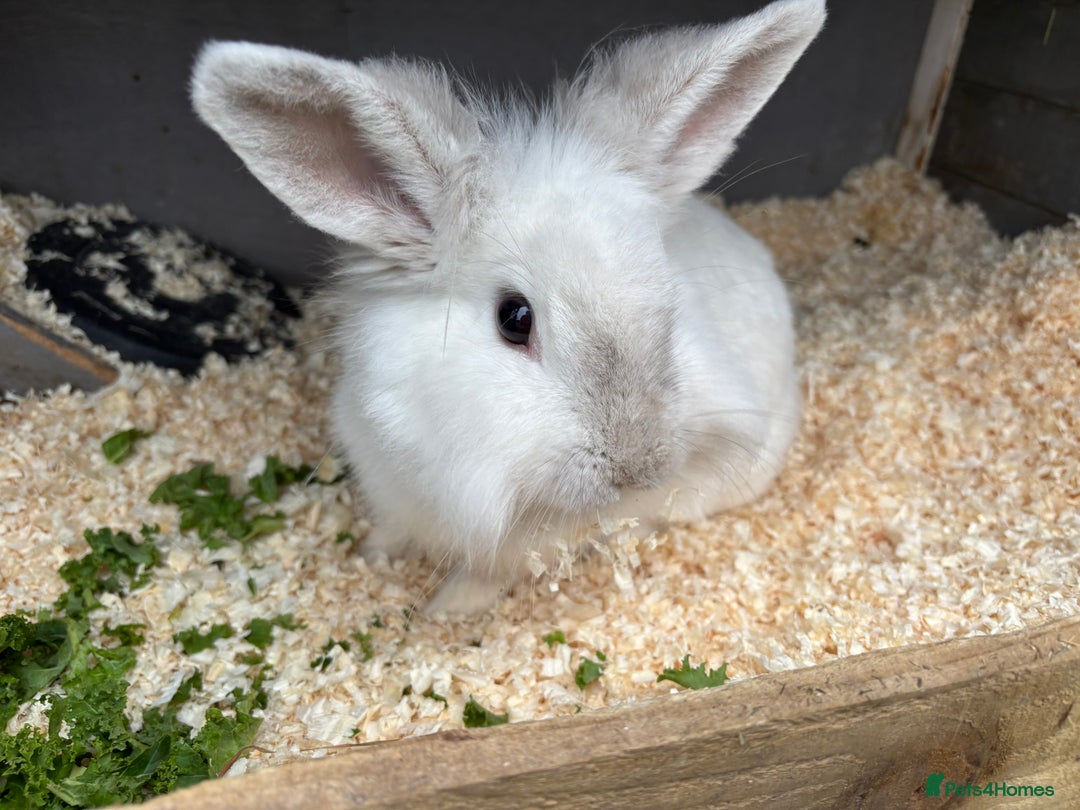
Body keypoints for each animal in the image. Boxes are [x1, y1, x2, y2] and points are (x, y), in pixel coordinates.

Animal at [191, 0, 825, 614]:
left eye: (669, 296)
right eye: (514, 319)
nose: (638, 468)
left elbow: (480, 578)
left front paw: (440, 613)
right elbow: (392, 533)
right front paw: (369, 556)